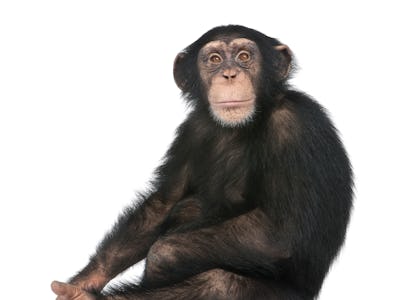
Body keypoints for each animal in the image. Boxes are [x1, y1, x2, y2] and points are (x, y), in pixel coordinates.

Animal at [50, 25, 354, 300]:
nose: (229, 74)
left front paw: (161, 257)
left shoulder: (295, 126)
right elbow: (164, 202)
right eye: (215, 59)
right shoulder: (192, 129)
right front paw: (85, 281)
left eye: (244, 56)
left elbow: (282, 234)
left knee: (220, 285)